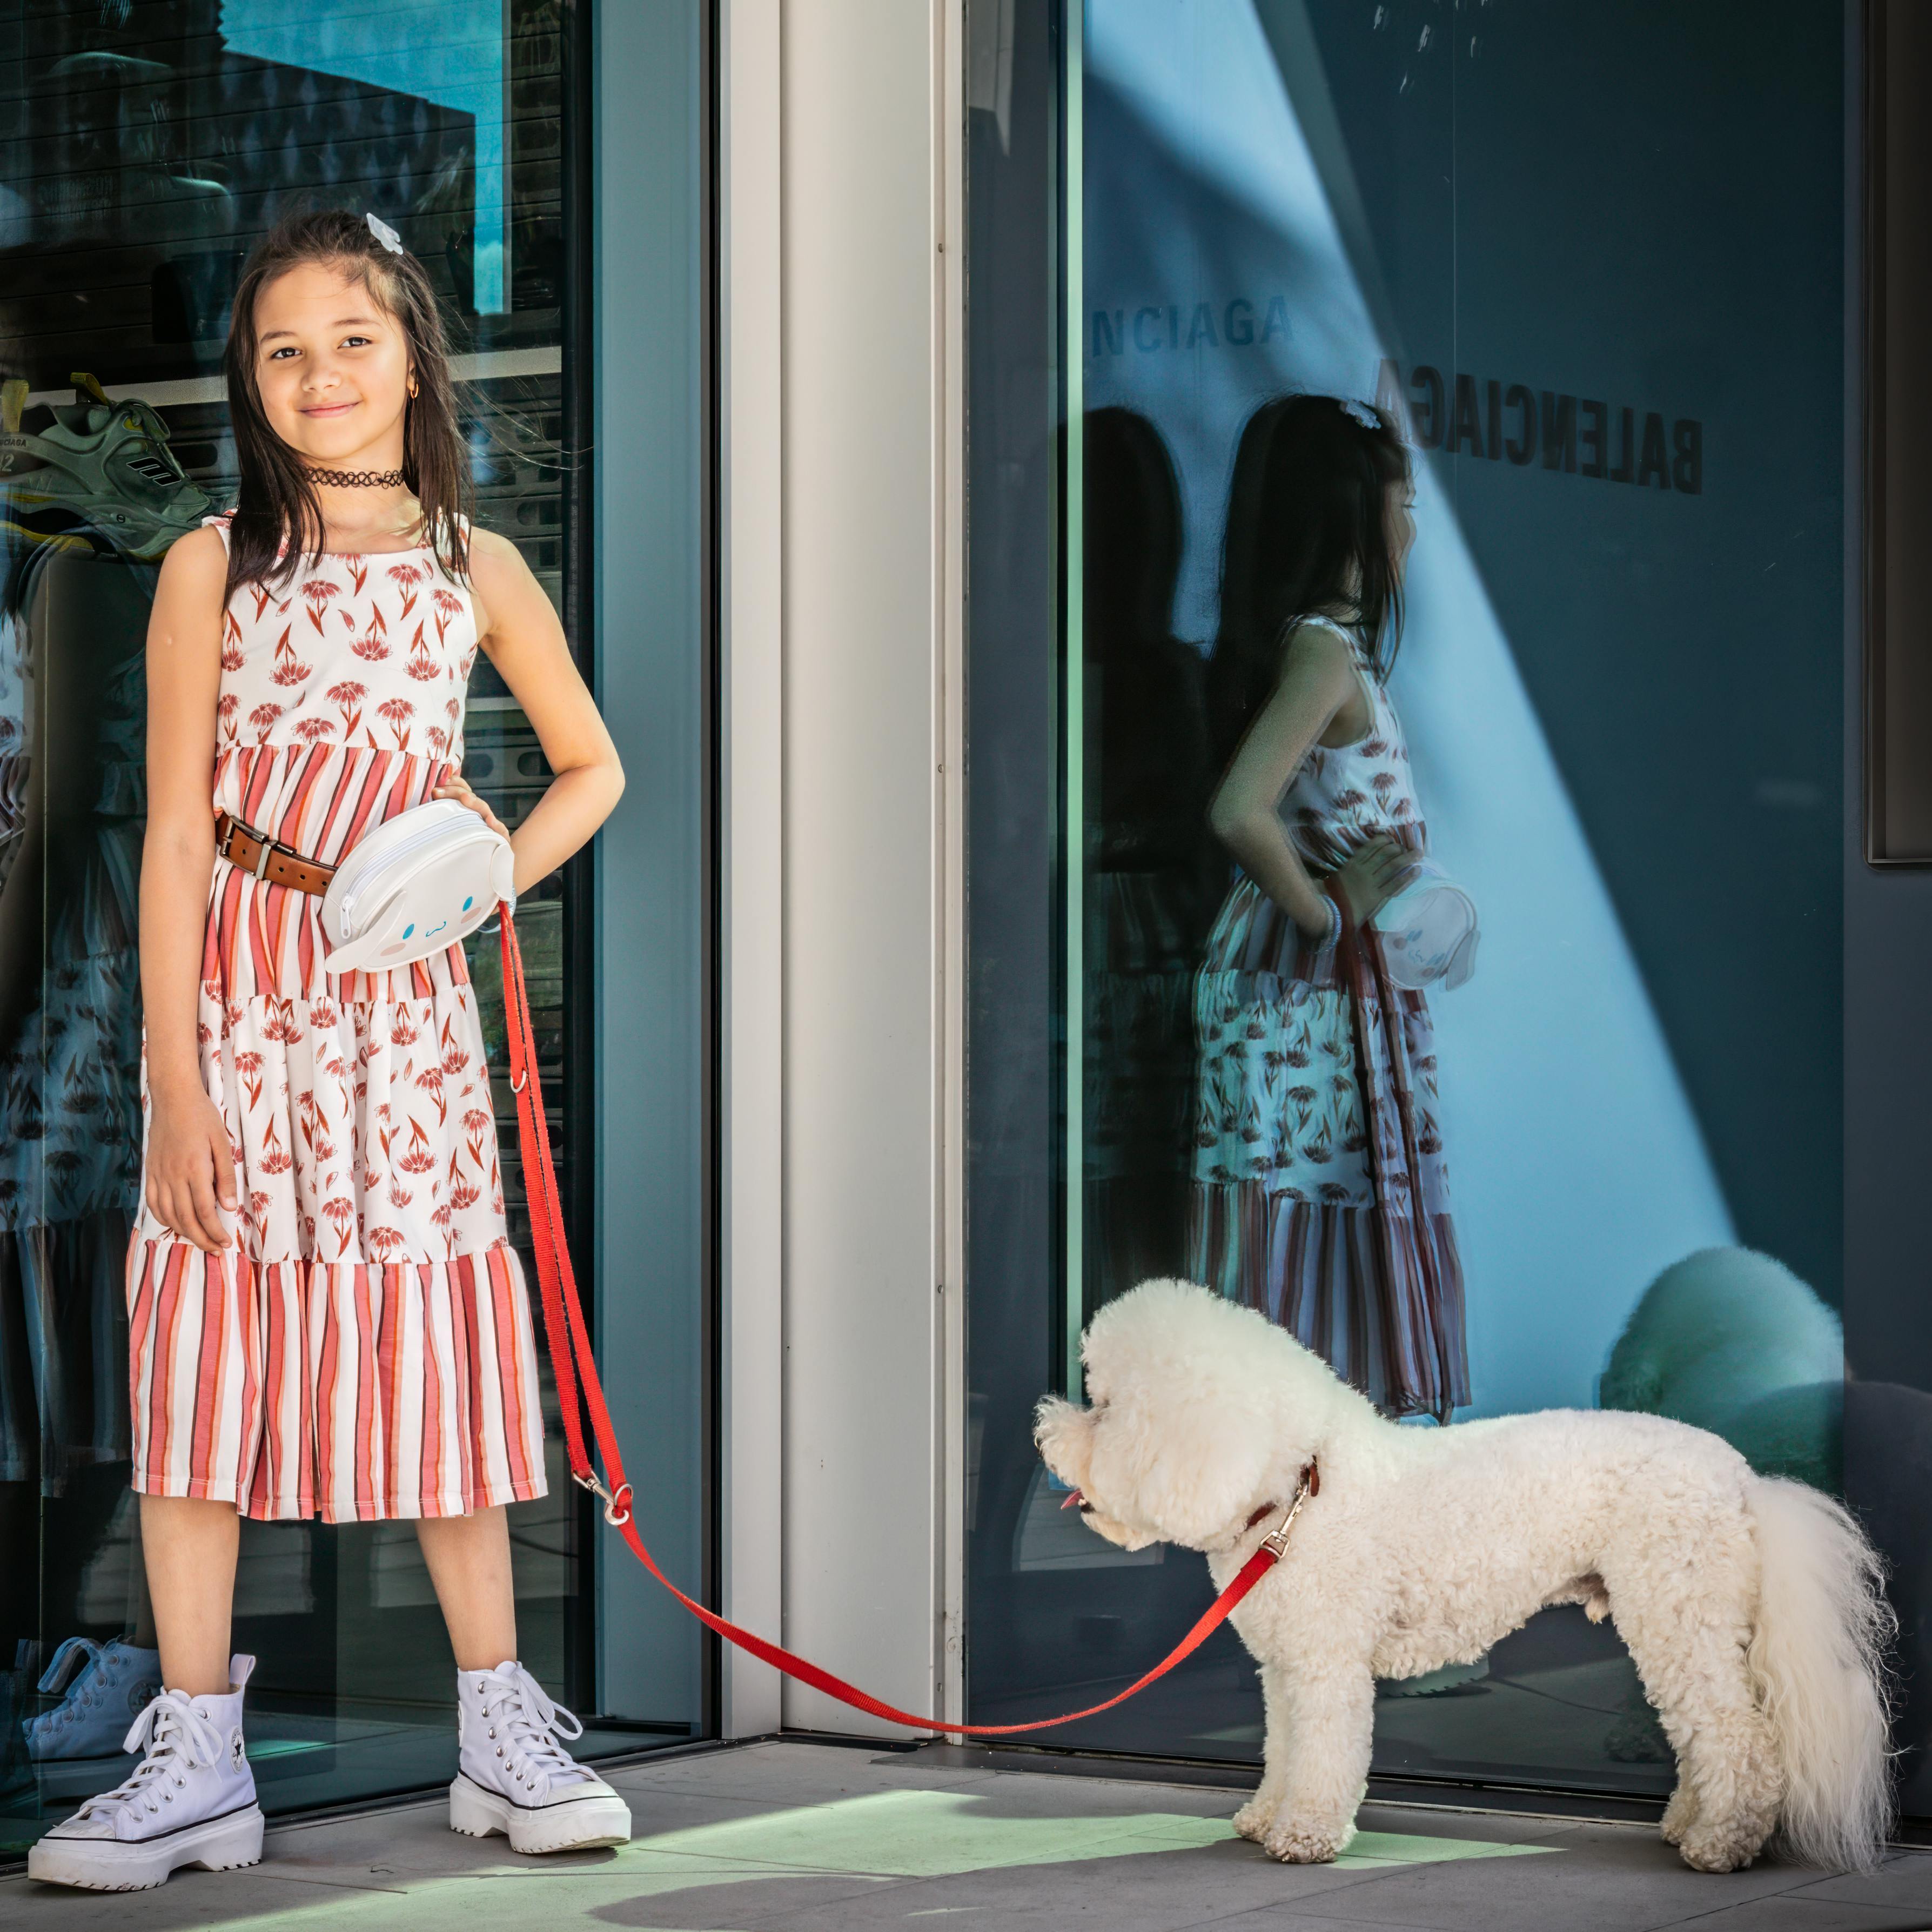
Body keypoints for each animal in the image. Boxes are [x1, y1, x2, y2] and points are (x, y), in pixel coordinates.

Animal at [1035, 1283, 1893, 1870]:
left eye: (1105, 1408)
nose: (1046, 1435)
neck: (1297, 1493)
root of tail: (1743, 1481)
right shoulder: (1285, 1668)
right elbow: (1283, 1747)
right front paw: (1263, 1816)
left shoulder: (1327, 1665)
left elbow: (1323, 1755)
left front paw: (1305, 1835)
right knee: (1707, 1735)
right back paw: (1692, 1823)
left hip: (1678, 1608)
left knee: (1738, 1737)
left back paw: (1721, 1845)